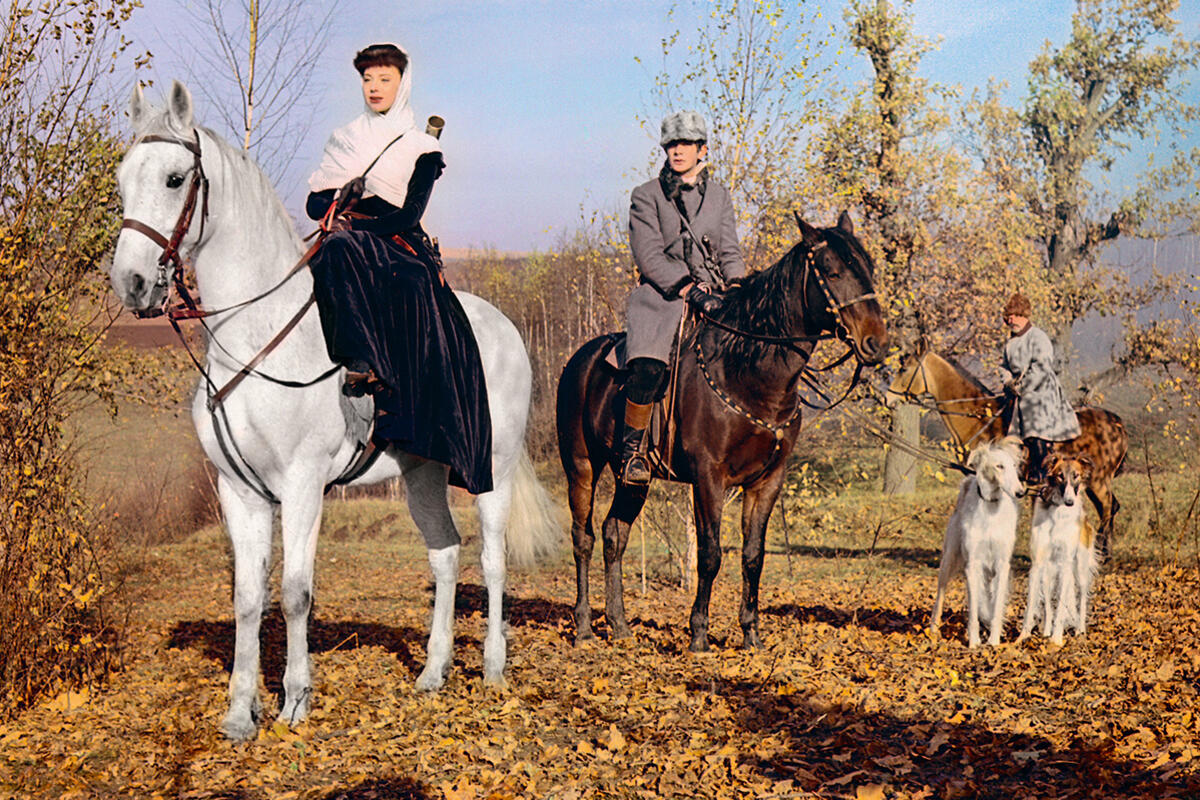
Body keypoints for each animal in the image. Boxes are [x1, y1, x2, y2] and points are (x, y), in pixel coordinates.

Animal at [110, 79, 559, 738]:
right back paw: (433, 671)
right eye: (121, 181)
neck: (256, 332)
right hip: (422, 473)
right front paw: (240, 712)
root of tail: (503, 325)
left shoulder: (301, 484)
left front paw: (295, 700)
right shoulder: (237, 490)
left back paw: (494, 669)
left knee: (493, 559)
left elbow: (296, 590)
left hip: (492, 467)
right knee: (445, 554)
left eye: (173, 179)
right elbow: (248, 596)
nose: (132, 284)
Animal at [556, 212, 888, 652]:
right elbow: (710, 554)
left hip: (633, 479)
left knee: (614, 534)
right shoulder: (708, 478)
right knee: (584, 538)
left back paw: (620, 625)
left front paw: (751, 634)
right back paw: (583, 628)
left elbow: (753, 555)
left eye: (868, 268)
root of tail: (581, 358)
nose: (877, 343)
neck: (747, 370)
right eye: (832, 272)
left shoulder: (766, 482)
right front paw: (698, 635)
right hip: (581, 468)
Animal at [888, 347, 1128, 561]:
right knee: (1110, 507)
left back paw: (1102, 555)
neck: (981, 417)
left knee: (1108, 507)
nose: (888, 398)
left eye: (904, 368)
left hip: (1098, 481)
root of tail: (1117, 422)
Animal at [931, 438, 1027, 652]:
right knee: (940, 594)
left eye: (1014, 466)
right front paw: (974, 641)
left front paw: (994, 640)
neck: (991, 508)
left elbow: (996, 605)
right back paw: (932, 628)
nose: (1020, 492)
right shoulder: (973, 564)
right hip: (949, 560)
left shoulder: (1002, 565)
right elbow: (973, 608)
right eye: (999, 466)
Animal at [1012, 453, 1099, 647]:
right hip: (1048, 572)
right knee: (1048, 604)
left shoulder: (1066, 562)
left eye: (1076, 475)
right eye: (1060, 476)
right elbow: (1032, 604)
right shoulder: (1037, 563)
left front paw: (1057, 639)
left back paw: (1080, 630)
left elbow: (1061, 606)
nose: (1070, 502)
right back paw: (1046, 631)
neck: (1058, 513)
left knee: (1081, 599)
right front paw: (1023, 636)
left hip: (1080, 568)